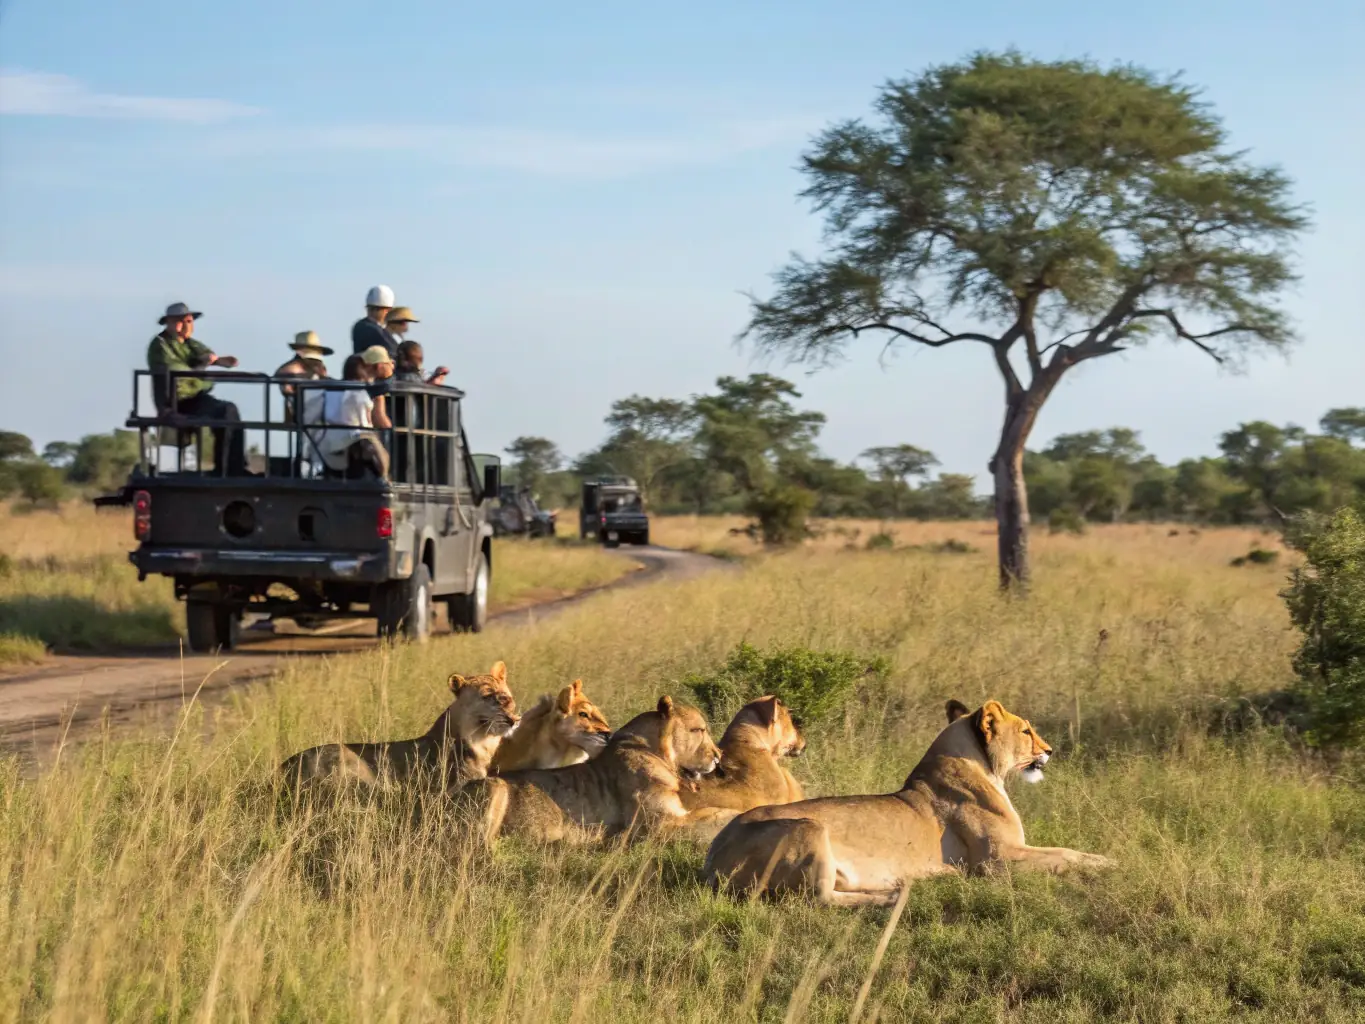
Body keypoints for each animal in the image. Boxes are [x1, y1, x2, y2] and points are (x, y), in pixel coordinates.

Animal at [279, 661, 519, 792]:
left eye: (506, 695)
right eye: (488, 695)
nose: (513, 716)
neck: (482, 740)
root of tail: (282, 766)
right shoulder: (455, 784)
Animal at [471, 695, 723, 846]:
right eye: (699, 730)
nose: (718, 756)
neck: (652, 750)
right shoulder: (660, 823)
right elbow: (711, 813)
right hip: (493, 787)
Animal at [704, 698, 1114, 906]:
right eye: (1026, 731)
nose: (1050, 750)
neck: (982, 765)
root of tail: (712, 856)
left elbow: (1067, 851)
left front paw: (1104, 859)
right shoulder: (996, 861)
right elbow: (1063, 857)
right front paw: (1107, 866)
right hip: (810, 827)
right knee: (819, 898)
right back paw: (894, 895)